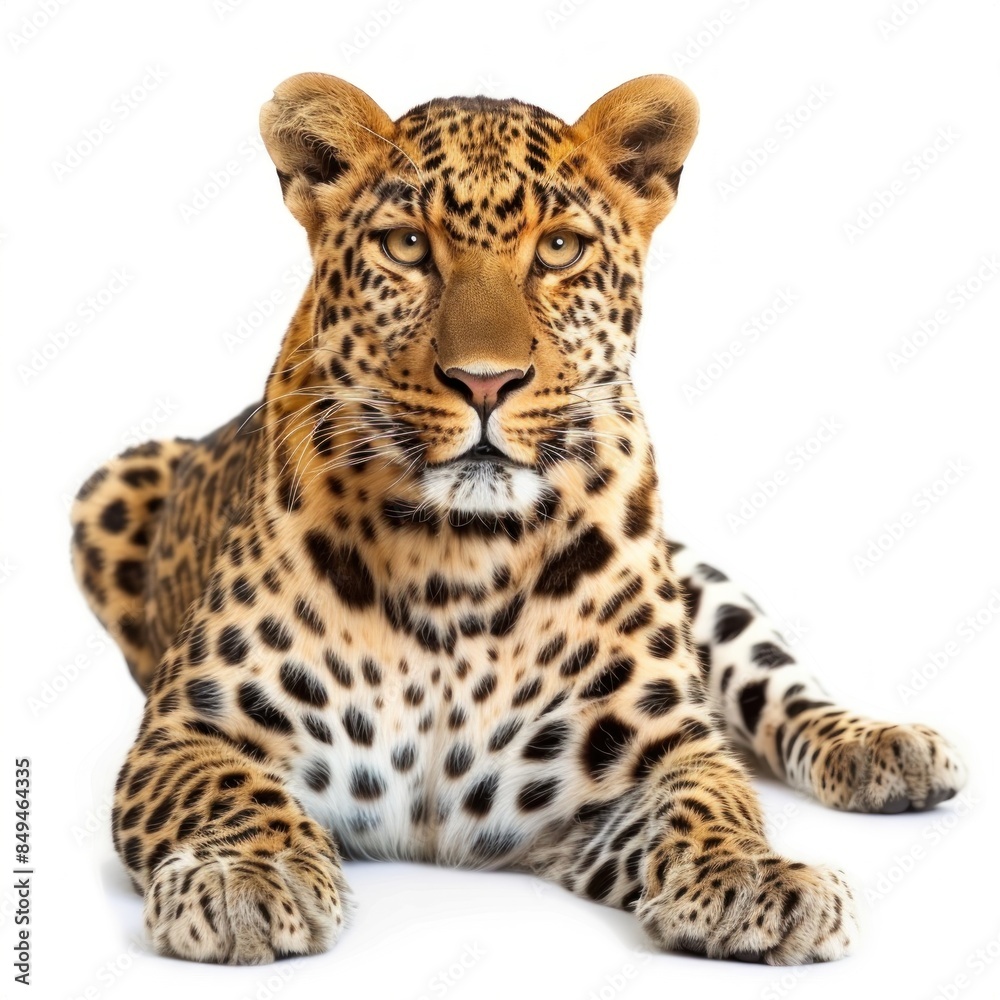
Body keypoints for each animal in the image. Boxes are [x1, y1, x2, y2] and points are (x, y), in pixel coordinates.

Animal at [69, 72, 967, 966]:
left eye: (560, 250)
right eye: (407, 247)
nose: (485, 381)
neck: (458, 554)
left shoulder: (644, 757)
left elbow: (711, 795)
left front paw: (752, 876)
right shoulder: (188, 729)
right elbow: (230, 788)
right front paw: (247, 878)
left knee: (781, 686)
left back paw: (885, 747)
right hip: (108, 486)